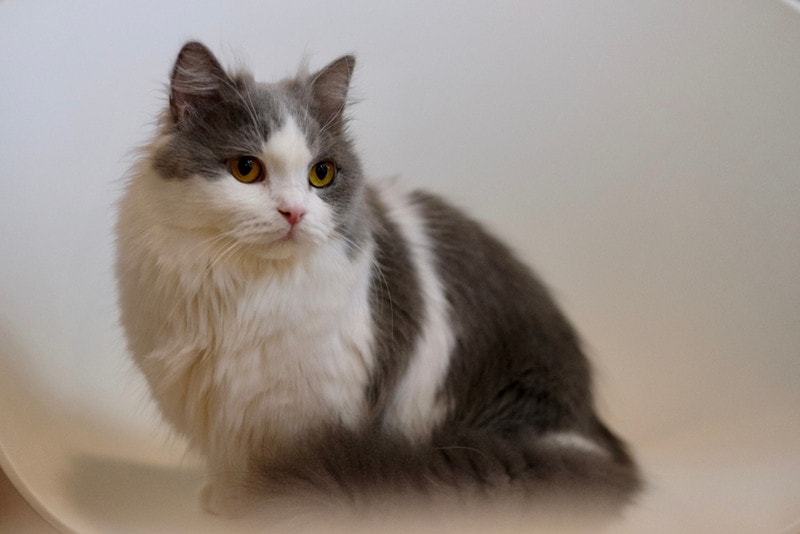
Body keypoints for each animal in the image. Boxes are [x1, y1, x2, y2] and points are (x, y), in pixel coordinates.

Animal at [112, 40, 640, 520]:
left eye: (321, 174)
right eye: (246, 169)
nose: (294, 213)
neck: (245, 293)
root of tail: (591, 432)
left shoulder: (317, 404)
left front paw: (260, 508)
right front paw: (227, 502)